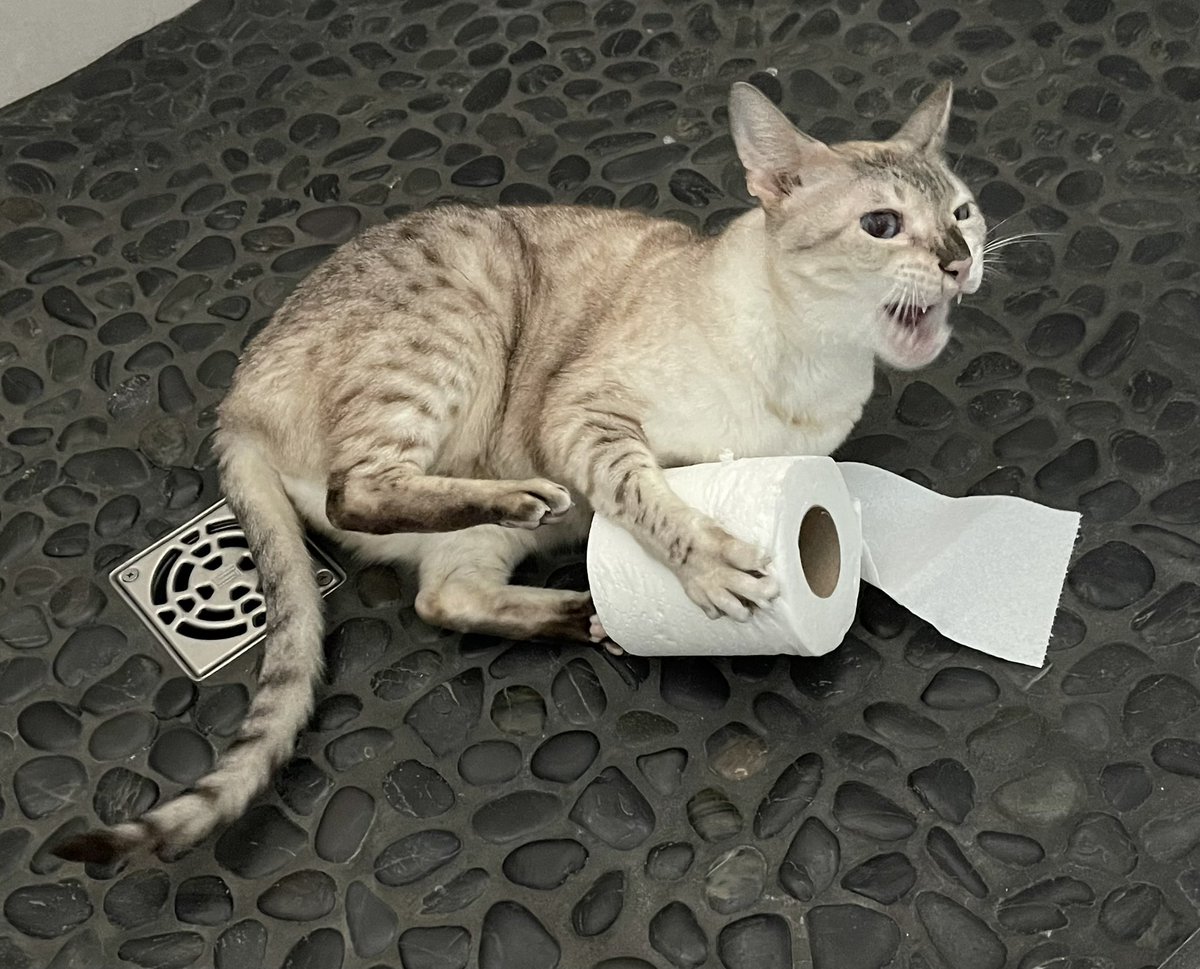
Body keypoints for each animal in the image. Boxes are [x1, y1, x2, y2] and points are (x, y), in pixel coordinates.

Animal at [55, 79, 985, 864]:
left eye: (965, 214)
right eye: (881, 225)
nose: (959, 259)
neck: (818, 370)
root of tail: (234, 403)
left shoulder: (783, 456)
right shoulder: (581, 412)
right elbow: (643, 490)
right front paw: (712, 562)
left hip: (465, 508)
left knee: (445, 595)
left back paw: (589, 613)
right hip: (460, 315)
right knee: (364, 490)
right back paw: (533, 506)